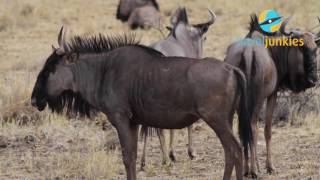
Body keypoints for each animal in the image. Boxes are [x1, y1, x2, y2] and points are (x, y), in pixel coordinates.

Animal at [31, 27, 252, 180]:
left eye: (50, 70)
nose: (34, 100)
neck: (103, 71)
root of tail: (230, 69)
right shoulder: (134, 123)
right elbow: (134, 157)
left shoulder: (121, 120)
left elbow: (127, 158)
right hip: (225, 121)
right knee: (230, 152)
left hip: (217, 121)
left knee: (235, 150)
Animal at [139, 5, 216, 169]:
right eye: (202, 36)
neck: (182, 41)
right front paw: (189, 153)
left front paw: (173, 154)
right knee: (158, 127)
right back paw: (164, 160)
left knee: (146, 126)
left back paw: (143, 162)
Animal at [225, 15, 320, 177]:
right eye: (301, 47)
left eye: (315, 49)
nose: (313, 80)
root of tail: (247, 52)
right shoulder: (272, 95)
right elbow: (268, 130)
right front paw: (270, 167)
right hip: (257, 100)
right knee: (253, 127)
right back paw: (254, 170)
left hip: (238, 102)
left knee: (241, 131)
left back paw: (245, 169)